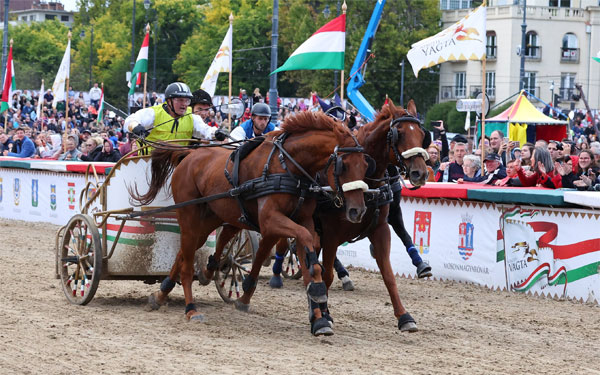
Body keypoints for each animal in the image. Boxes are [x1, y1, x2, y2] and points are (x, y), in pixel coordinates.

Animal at [137, 112, 370, 334]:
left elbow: (307, 257)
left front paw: (319, 318)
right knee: (187, 263)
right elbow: (304, 242)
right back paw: (191, 308)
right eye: (343, 165)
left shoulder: (304, 220)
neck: (287, 166)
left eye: (366, 165)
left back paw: (165, 291)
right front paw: (318, 292)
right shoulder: (270, 221)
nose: (358, 210)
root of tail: (190, 155)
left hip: (212, 217)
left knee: (187, 251)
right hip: (189, 215)